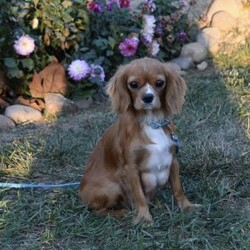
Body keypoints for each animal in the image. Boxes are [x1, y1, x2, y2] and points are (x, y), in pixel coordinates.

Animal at [79, 57, 196, 225]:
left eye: (159, 83)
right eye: (133, 84)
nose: (148, 98)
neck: (151, 121)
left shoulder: (173, 160)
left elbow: (178, 188)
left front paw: (186, 206)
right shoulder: (131, 169)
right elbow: (139, 196)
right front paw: (144, 218)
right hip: (112, 187)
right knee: (97, 210)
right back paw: (122, 212)